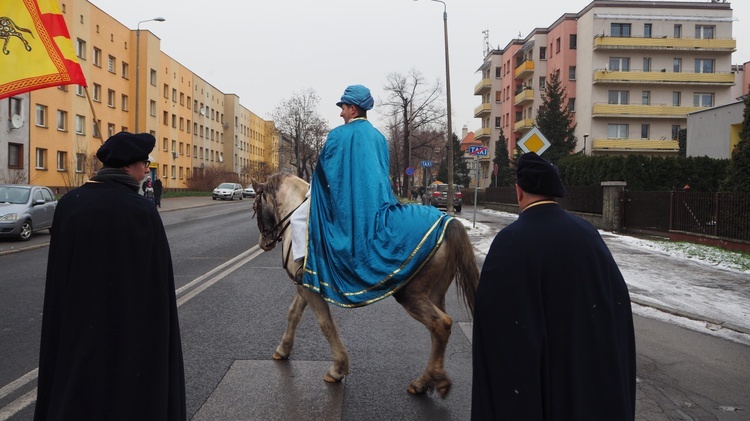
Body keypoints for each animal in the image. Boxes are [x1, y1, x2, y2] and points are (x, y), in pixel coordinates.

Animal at [250, 171, 478, 398]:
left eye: (255, 207)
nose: (263, 242)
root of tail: (448, 220)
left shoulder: (309, 289)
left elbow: (325, 324)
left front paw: (337, 369)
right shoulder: (306, 286)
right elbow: (294, 313)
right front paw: (283, 349)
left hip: (412, 294)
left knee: (440, 324)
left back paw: (428, 381)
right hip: (435, 293)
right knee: (437, 331)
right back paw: (428, 380)